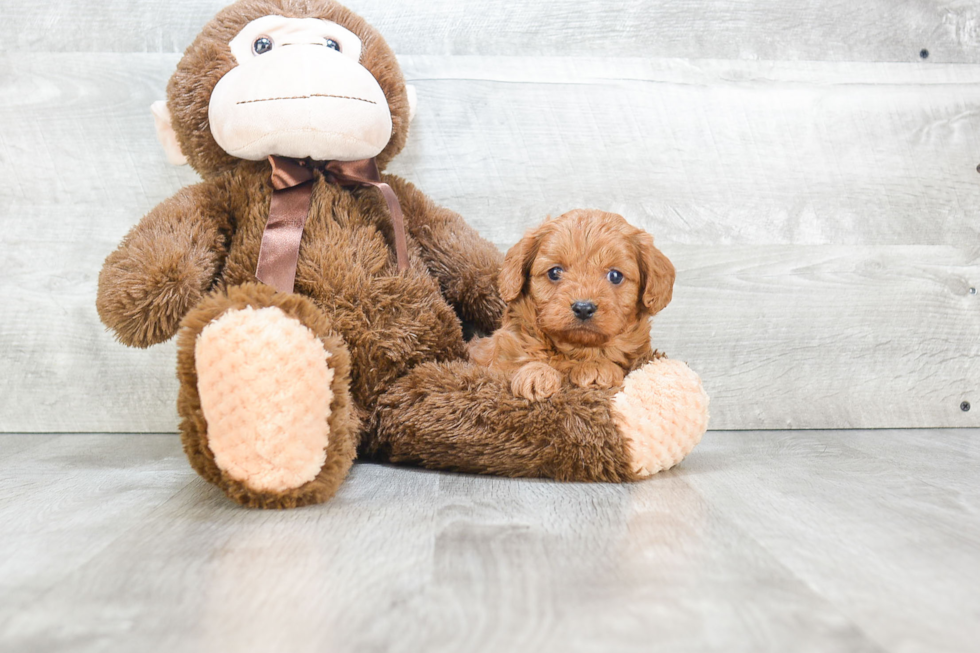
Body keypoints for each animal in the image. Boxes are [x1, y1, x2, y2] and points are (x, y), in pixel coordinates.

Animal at [470, 211, 676, 400]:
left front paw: (596, 367)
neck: (575, 350)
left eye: (615, 276)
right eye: (554, 272)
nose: (583, 308)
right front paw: (537, 373)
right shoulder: (497, 363)